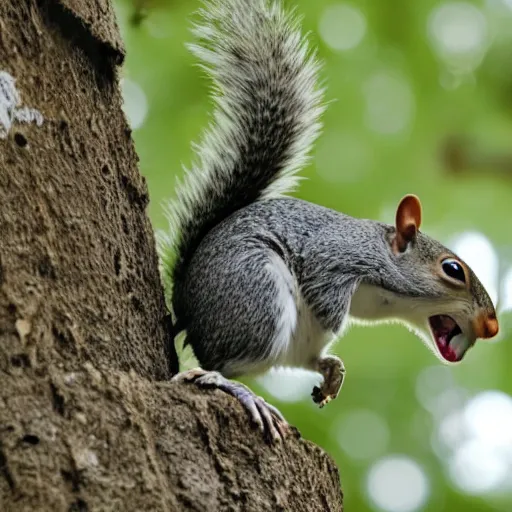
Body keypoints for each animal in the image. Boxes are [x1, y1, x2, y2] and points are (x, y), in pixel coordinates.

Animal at [158, 0, 498, 440]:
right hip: (255, 295)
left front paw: (333, 369)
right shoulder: (334, 256)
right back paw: (236, 389)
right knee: (218, 365)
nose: (492, 326)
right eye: (453, 269)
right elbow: (324, 297)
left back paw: (328, 369)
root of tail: (185, 305)